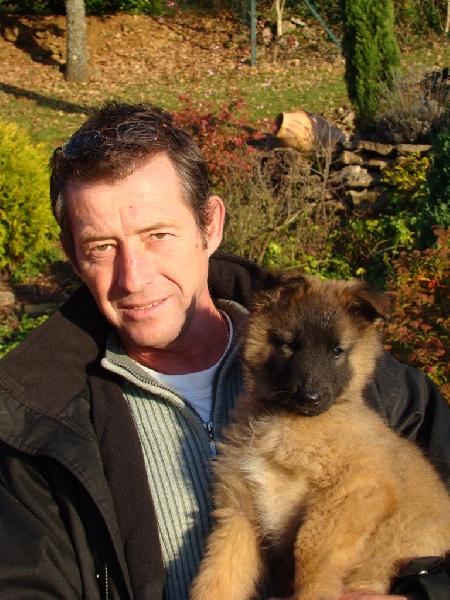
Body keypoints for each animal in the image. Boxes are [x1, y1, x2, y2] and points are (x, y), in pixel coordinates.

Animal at [190, 274, 450, 600]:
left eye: (337, 351)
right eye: (291, 344)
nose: (310, 397)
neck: (284, 422)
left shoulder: (355, 489)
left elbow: (310, 553)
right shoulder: (239, 510)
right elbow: (218, 575)